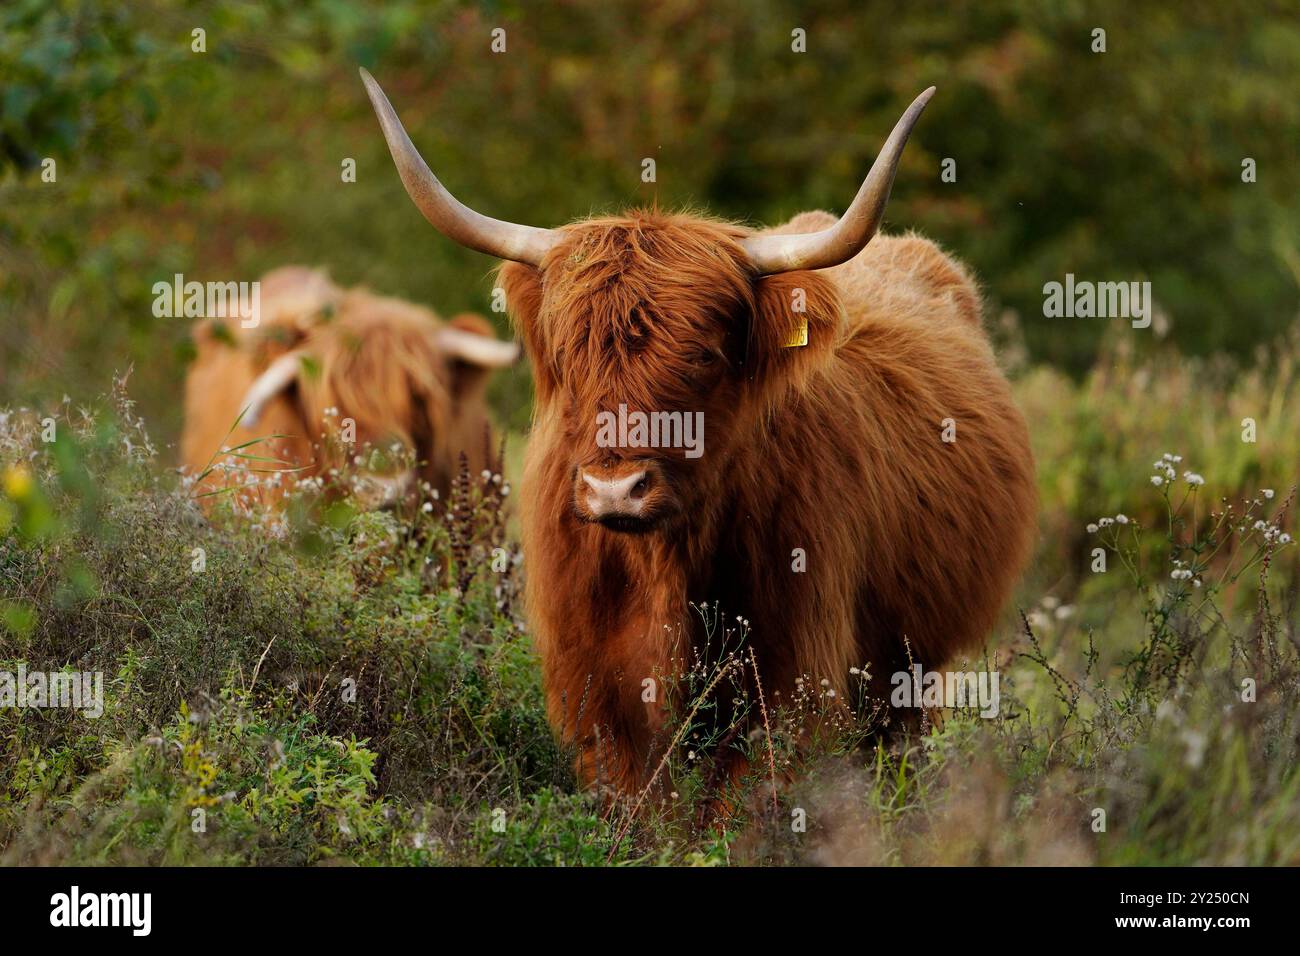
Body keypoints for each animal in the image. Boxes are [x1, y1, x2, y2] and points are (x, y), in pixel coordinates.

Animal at [364, 70, 1034, 796]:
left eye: (704, 357)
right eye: (568, 357)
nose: (614, 490)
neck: (662, 564)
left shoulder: (789, 680)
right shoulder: (592, 689)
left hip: (914, 670)